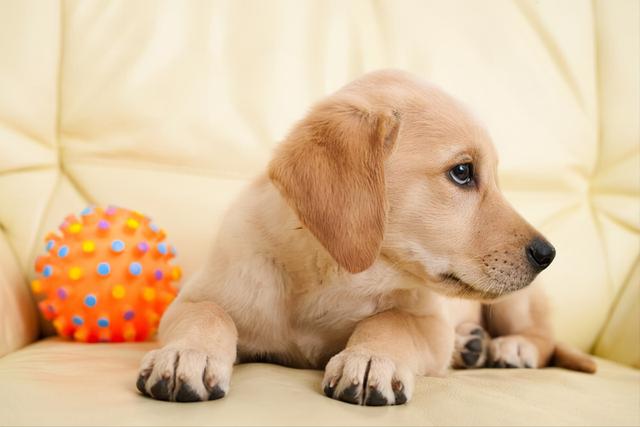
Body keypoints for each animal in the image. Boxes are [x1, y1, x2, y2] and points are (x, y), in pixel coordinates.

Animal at [135, 68, 596, 406]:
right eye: (463, 172)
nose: (548, 254)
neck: (335, 272)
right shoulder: (193, 298)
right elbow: (209, 313)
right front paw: (187, 356)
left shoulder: (428, 321)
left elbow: (391, 321)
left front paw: (372, 358)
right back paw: (471, 345)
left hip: (517, 303)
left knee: (543, 336)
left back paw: (510, 349)